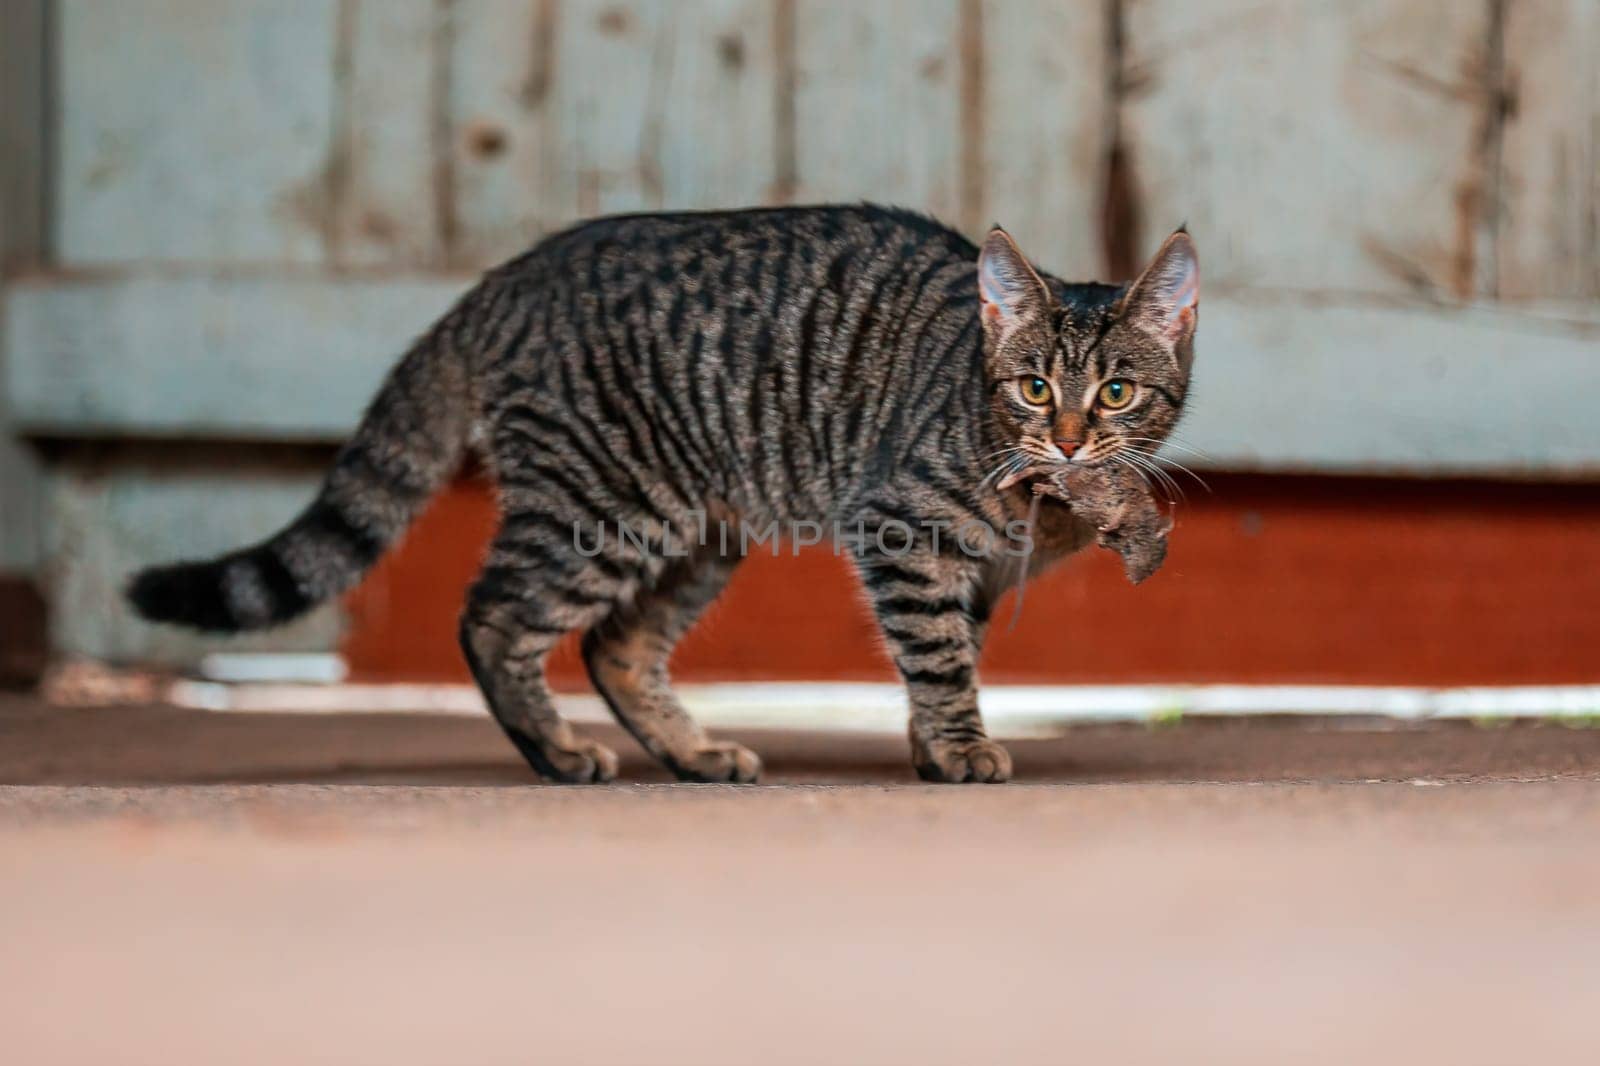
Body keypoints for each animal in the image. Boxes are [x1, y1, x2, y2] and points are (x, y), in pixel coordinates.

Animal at [128, 204, 1203, 781]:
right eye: (1034, 388)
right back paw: (556, 753)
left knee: (615, 647)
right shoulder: (902, 530)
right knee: (492, 618)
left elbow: (948, 657)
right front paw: (958, 745)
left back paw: (692, 753)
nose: (1070, 437)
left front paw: (931, 746)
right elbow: (937, 659)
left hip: (697, 536)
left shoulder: (969, 573)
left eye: (1115, 392)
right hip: (602, 511)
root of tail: (505, 278)